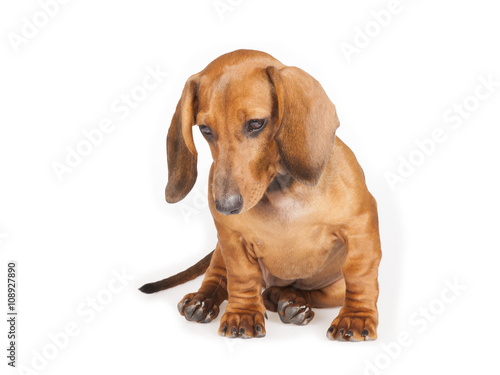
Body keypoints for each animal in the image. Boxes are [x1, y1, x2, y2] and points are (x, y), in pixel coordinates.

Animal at [141, 50, 382, 344]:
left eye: (256, 124)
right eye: (205, 129)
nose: (225, 206)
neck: (280, 192)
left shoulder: (361, 226)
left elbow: (360, 275)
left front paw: (356, 317)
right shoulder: (231, 238)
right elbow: (242, 277)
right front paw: (242, 314)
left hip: (332, 287)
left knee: (308, 293)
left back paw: (292, 302)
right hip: (220, 250)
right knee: (218, 277)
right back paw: (203, 301)